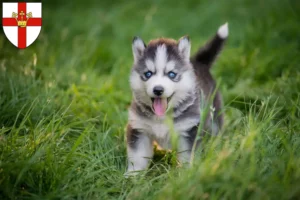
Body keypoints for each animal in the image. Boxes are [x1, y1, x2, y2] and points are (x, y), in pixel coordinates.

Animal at [126, 23, 227, 173]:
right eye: (148, 74)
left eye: (172, 74)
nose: (158, 90)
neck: (162, 117)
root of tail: (198, 62)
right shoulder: (139, 129)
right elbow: (138, 157)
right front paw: (133, 175)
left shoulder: (188, 130)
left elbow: (187, 157)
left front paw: (187, 174)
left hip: (214, 116)